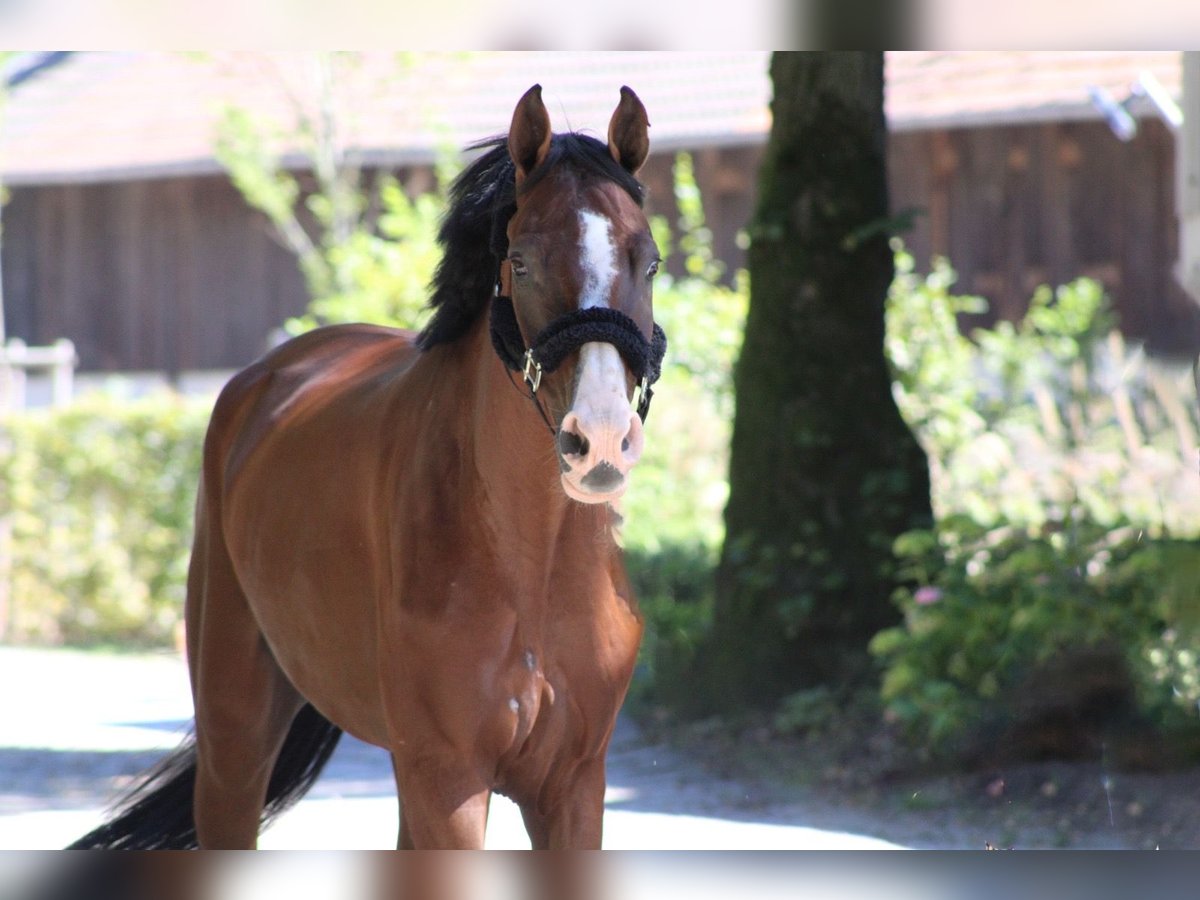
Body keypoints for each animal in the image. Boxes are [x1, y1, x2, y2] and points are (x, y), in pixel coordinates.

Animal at [68, 84, 667, 854]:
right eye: (523, 261)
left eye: (648, 262)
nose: (600, 439)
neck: (530, 566)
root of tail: (269, 376)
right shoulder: (448, 777)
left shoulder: (572, 784)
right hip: (237, 740)